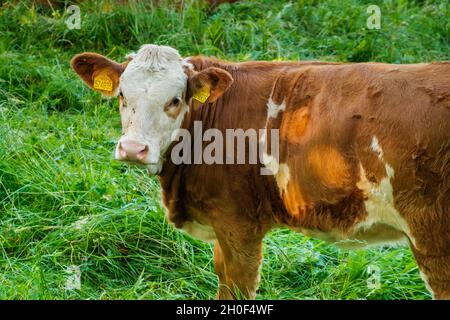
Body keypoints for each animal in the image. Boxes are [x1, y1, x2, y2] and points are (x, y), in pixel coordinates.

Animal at [70, 45, 450, 300]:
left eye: (175, 99)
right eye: (122, 94)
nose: (133, 149)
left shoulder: (239, 224)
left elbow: (238, 290)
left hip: (433, 236)